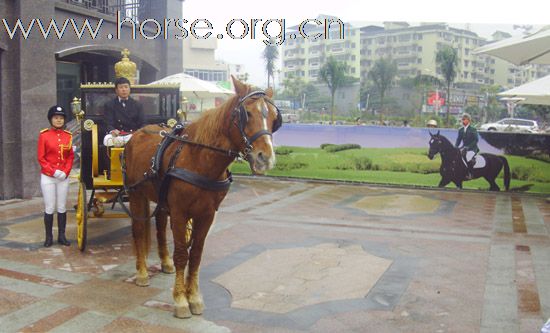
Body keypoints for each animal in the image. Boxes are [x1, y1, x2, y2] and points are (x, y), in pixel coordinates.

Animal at [125, 76, 280, 318]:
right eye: (247, 113)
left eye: (274, 117)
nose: (265, 158)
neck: (199, 160)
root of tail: (138, 133)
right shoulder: (180, 213)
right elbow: (182, 254)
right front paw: (180, 300)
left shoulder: (206, 215)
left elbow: (196, 255)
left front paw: (194, 297)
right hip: (136, 194)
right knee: (139, 230)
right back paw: (141, 273)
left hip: (160, 199)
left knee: (159, 226)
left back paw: (164, 262)